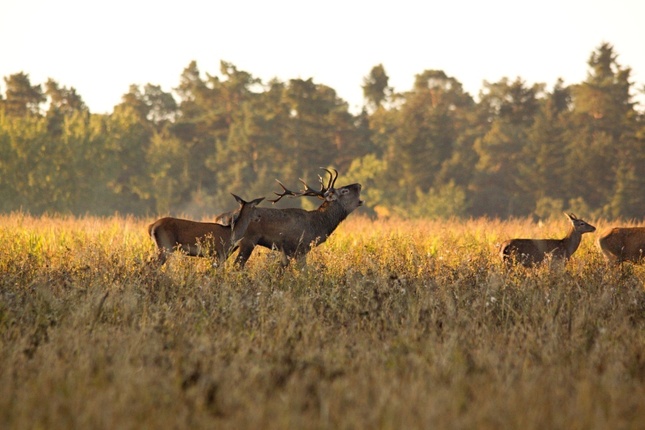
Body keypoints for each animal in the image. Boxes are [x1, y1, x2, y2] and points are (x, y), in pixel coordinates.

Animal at [231, 167, 362, 266]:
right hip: (248, 241)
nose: (359, 184)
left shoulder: (288, 252)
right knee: (237, 265)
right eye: (345, 191)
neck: (318, 226)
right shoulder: (299, 248)